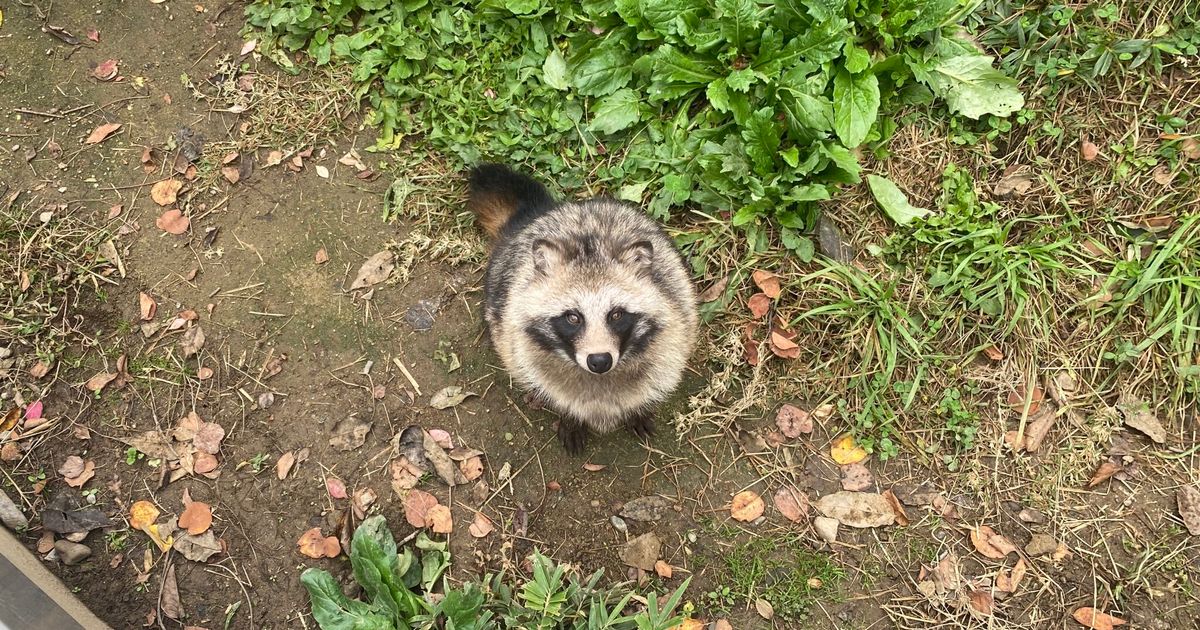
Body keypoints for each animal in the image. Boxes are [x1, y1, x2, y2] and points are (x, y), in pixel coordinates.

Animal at [465, 163, 700, 451]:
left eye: (616, 314)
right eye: (573, 317)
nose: (599, 361)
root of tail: (540, 213)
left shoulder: (676, 321)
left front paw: (638, 409)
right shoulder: (521, 337)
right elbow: (552, 387)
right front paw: (569, 417)